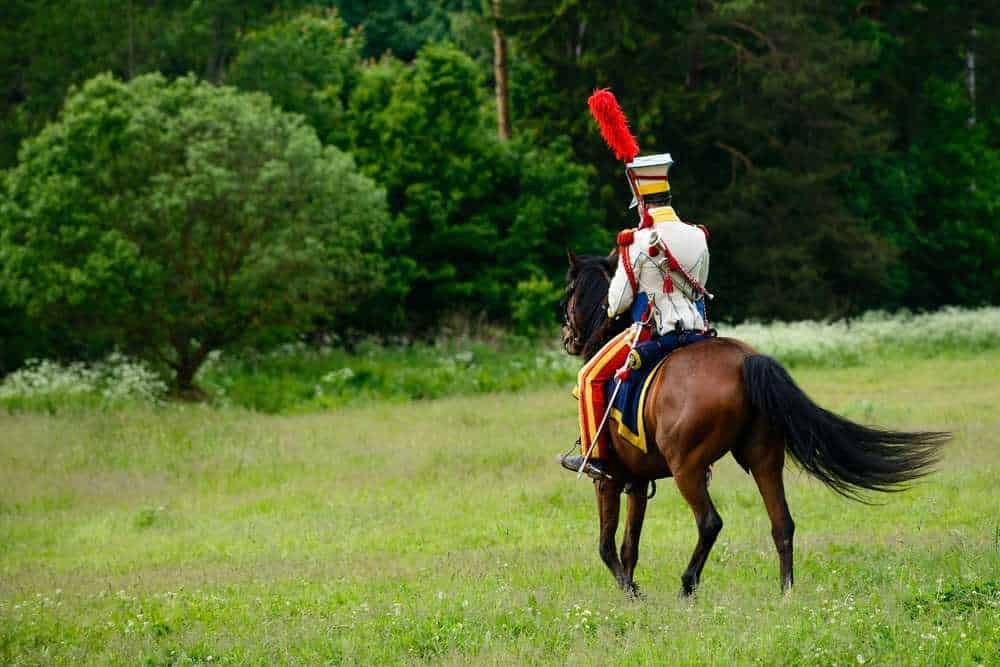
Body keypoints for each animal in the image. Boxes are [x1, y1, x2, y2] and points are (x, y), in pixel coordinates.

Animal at [561, 251, 949, 597]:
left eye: (569, 291)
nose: (568, 337)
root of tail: (746, 360)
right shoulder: (638, 481)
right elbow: (630, 544)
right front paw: (631, 590)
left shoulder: (608, 479)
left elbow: (606, 544)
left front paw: (630, 591)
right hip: (763, 459)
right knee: (782, 523)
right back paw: (785, 590)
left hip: (687, 467)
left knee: (710, 522)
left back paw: (688, 584)